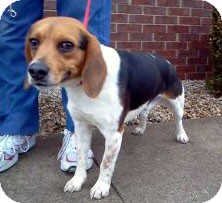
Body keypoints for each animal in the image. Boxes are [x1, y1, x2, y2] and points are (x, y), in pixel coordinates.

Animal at [25, 17, 189, 200]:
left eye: (67, 45)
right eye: (33, 41)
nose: (35, 71)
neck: (81, 86)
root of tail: (164, 61)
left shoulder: (113, 135)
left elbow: (106, 163)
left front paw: (101, 187)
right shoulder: (81, 127)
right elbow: (81, 157)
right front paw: (77, 181)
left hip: (177, 102)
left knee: (178, 120)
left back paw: (181, 135)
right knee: (145, 113)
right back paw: (140, 128)